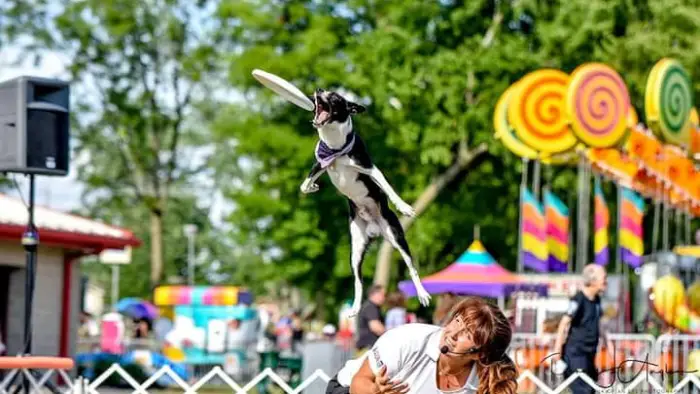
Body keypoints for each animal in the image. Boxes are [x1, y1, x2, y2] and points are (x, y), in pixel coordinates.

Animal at [300, 87, 432, 316]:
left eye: (335, 96)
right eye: (324, 91)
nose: (318, 90)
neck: (335, 145)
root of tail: (374, 229)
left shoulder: (370, 168)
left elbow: (388, 188)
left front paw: (404, 207)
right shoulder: (320, 164)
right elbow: (304, 185)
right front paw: (313, 187)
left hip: (397, 237)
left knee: (412, 268)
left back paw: (422, 294)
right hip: (355, 251)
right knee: (359, 282)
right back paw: (354, 307)